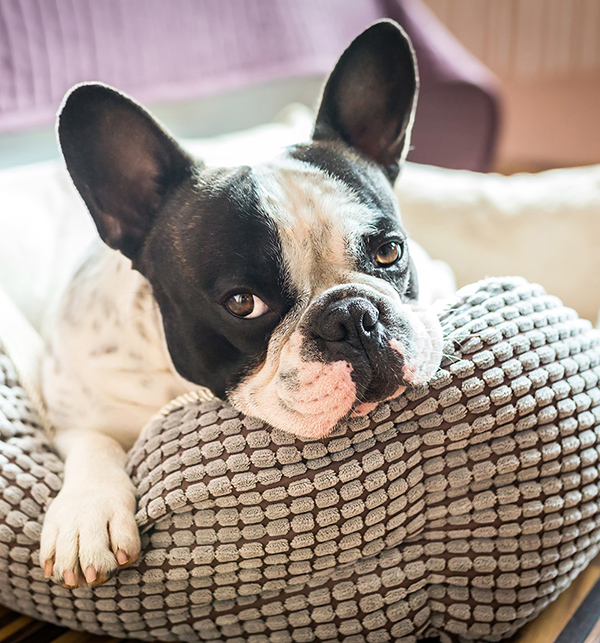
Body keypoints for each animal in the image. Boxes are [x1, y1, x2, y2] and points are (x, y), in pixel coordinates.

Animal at [41, 20, 446, 588]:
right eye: (242, 304)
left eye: (390, 251)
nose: (353, 318)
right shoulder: (69, 405)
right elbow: (94, 441)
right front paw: (87, 513)